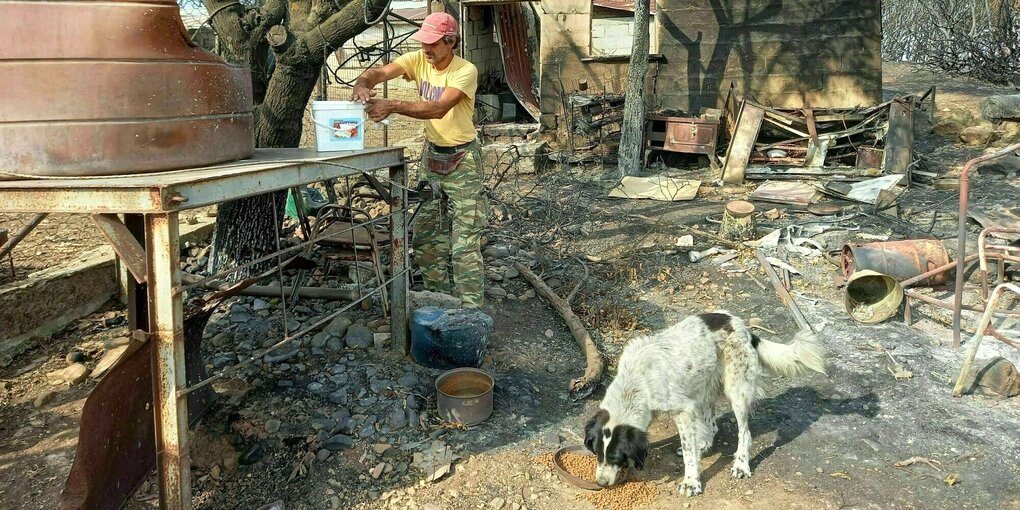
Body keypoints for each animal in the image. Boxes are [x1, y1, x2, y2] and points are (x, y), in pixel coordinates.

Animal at [583, 308, 828, 495]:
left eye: (616, 457)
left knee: (744, 432)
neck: (636, 382)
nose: (601, 483)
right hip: (702, 387)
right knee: (712, 424)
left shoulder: (682, 409)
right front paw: (695, 452)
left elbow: (688, 452)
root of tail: (742, 326)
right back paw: (703, 444)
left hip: (736, 390)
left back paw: (741, 463)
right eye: (596, 453)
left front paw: (691, 481)